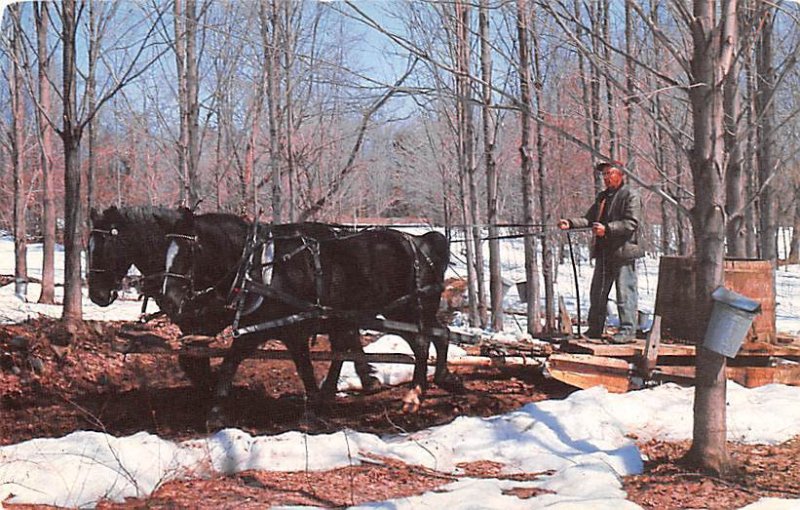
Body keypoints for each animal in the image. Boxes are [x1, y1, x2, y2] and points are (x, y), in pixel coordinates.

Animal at [161, 208, 462, 426]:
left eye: (190, 250)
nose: (170, 298)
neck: (261, 267)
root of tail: (421, 241)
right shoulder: (257, 329)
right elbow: (230, 363)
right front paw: (216, 410)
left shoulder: (295, 329)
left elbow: (305, 367)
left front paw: (313, 409)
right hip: (398, 310)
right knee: (440, 334)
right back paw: (444, 379)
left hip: (407, 309)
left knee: (422, 343)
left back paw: (414, 396)